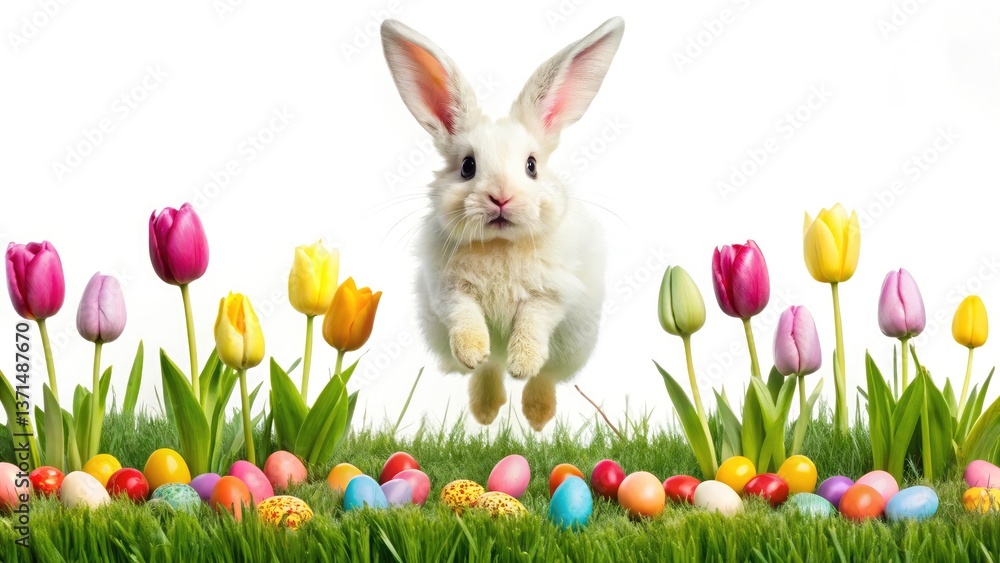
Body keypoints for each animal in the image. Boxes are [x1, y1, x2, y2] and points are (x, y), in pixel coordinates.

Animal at [380, 17, 624, 431]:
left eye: (531, 166)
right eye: (467, 166)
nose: (501, 198)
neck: (499, 244)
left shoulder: (551, 295)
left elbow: (532, 325)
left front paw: (522, 364)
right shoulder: (448, 291)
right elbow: (465, 319)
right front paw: (471, 353)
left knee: (546, 376)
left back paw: (537, 417)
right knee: (490, 370)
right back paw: (486, 411)